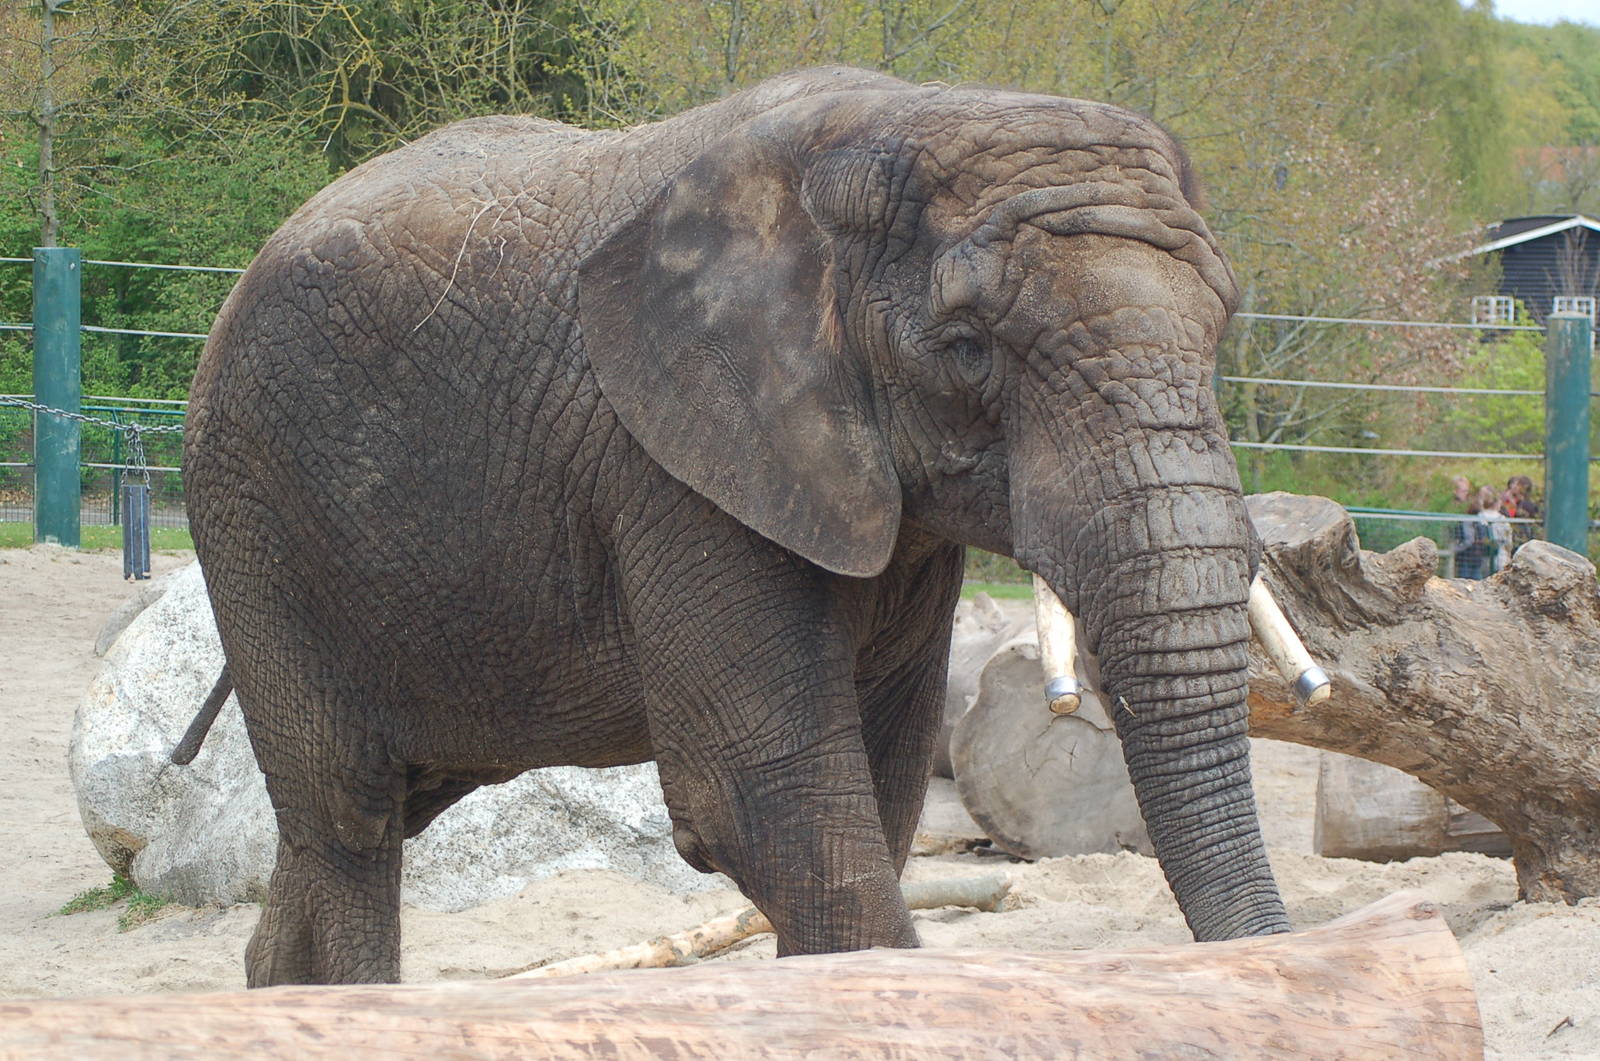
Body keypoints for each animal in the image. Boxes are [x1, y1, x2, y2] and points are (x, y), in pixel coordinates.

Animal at [180, 65, 1290, 987]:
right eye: (968, 348)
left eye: (1221, 328)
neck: (892, 118)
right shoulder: (675, 461)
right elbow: (771, 794)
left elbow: (881, 787)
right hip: (251, 510)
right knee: (349, 813)